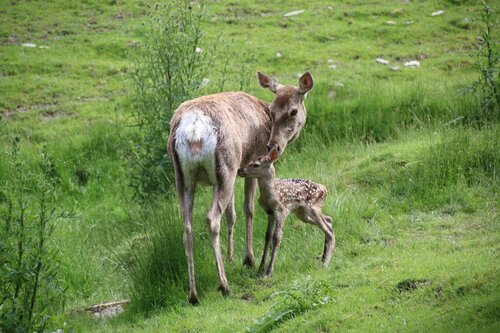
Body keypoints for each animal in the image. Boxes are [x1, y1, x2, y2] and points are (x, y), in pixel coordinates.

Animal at [168, 70, 312, 304]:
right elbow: (248, 208)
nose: (273, 146)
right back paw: (224, 285)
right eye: (273, 110)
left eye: (292, 111)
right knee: (211, 218)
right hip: (226, 165)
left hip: (184, 177)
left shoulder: (230, 174)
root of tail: (194, 129)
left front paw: (231, 256)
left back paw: (193, 294)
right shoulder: (249, 163)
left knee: (188, 228)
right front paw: (248, 258)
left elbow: (232, 214)